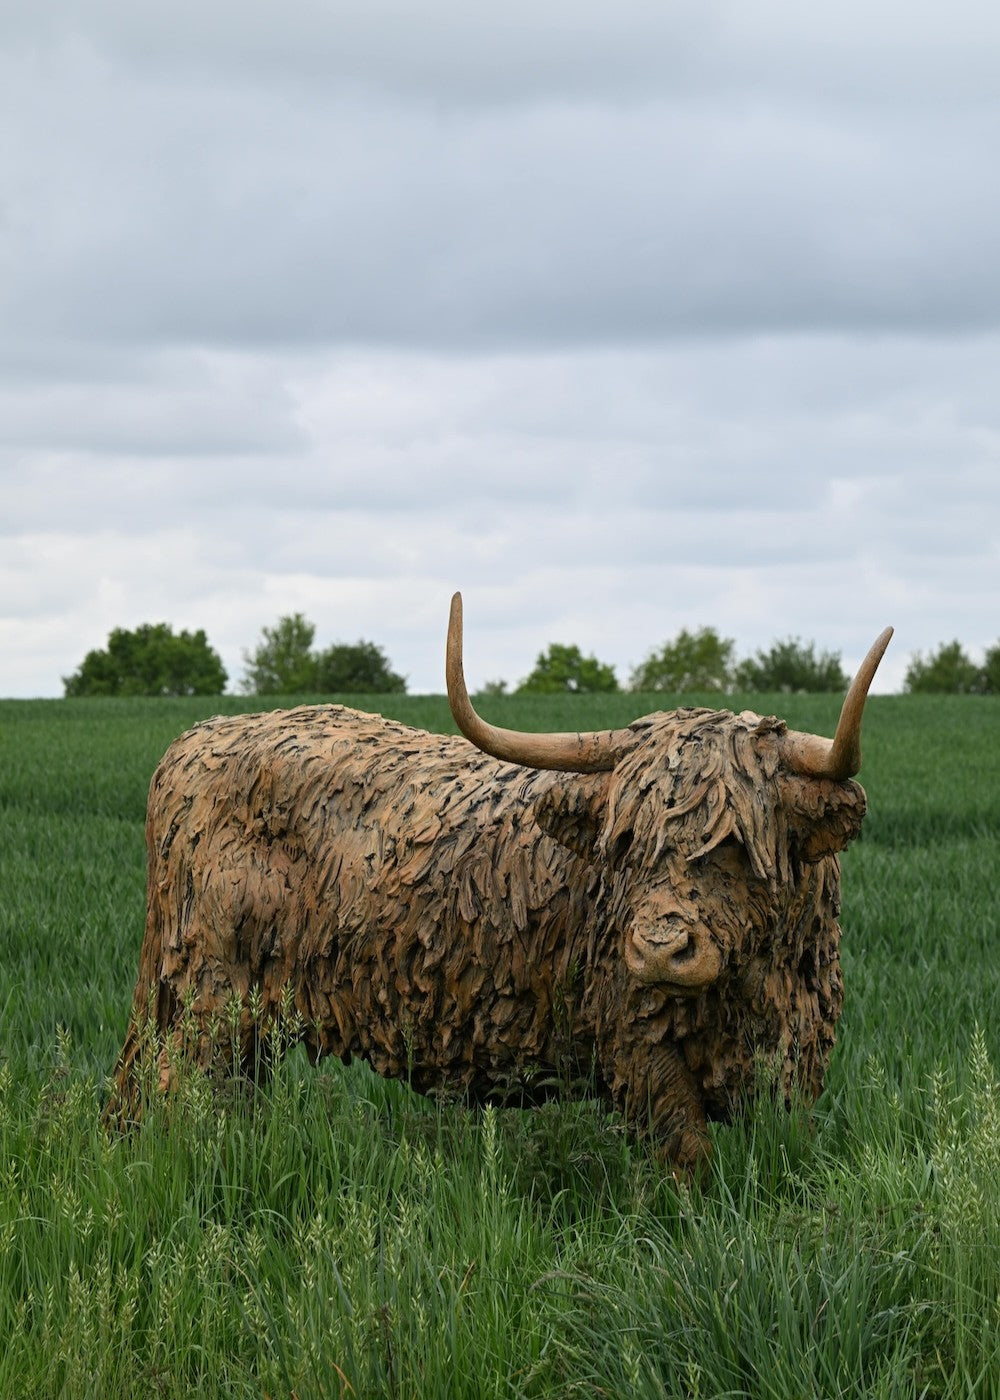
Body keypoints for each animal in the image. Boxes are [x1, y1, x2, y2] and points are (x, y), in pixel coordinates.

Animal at [107, 594, 891, 1173]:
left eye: (731, 847)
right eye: (626, 847)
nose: (659, 949)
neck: (740, 988)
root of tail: (195, 743)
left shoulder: (796, 1057)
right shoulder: (635, 1044)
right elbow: (685, 1157)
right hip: (209, 993)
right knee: (177, 1090)